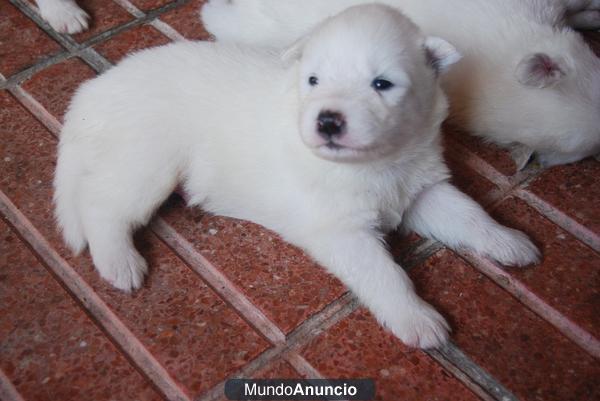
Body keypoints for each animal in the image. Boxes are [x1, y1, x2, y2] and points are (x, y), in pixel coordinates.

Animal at [52, 4, 540, 346]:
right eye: (313, 80)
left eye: (382, 83)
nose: (327, 121)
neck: (379, 163)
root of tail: (95, 89)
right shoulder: (341, 231)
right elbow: (386, 273)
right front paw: (416, 318)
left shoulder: (421, 189)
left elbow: (469, 212)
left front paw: (508, 241)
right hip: (147, 162)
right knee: (101, 205)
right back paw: (119, 263)